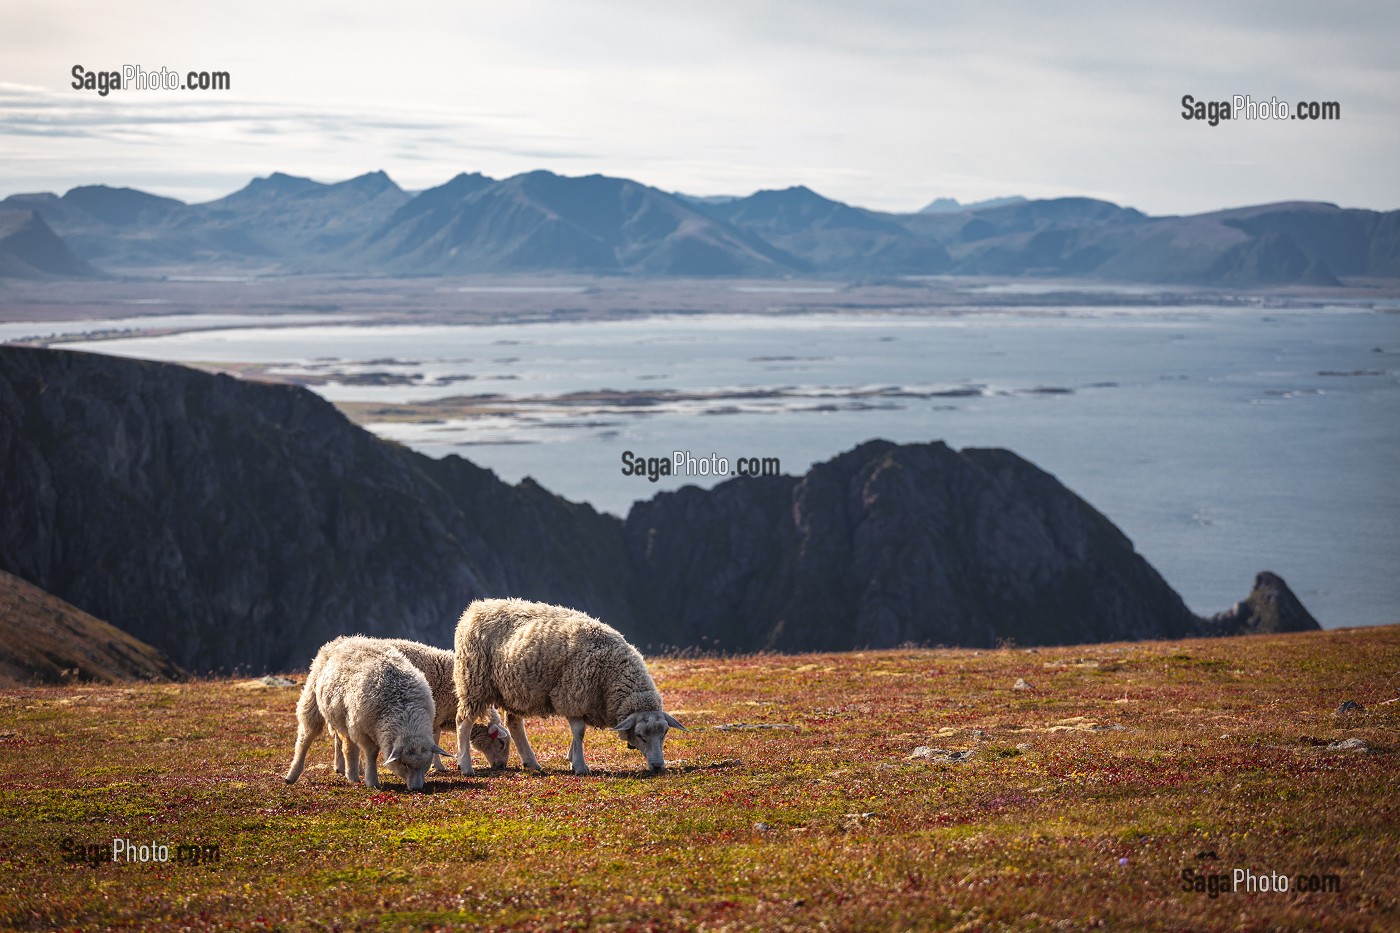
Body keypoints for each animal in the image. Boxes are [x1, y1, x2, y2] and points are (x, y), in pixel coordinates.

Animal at [283, 635, 449, 791]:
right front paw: (372, 781)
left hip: (343, 717)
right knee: (306, 738)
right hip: (314, 700)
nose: (416, 788)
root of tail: (343, 639)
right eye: (403, 763)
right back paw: (293, 775)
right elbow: (371, 754)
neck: (403, 707)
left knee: (346, 745)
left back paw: (352, 773)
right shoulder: (361, 730)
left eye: (426, 763)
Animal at [453, 598, 685, 776]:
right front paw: (581, 766)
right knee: (463, 723)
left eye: (664, 733)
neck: (611, 672)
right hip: (474, 682)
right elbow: (579, 732)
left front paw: (572, 759)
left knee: (514, 723)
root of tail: (475, 609)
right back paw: (466, 766)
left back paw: (532, 763)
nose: (658, 766)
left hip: (515, 689)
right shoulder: (574, 694)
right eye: (640, 735)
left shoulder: (583, 700)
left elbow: (578, 733)